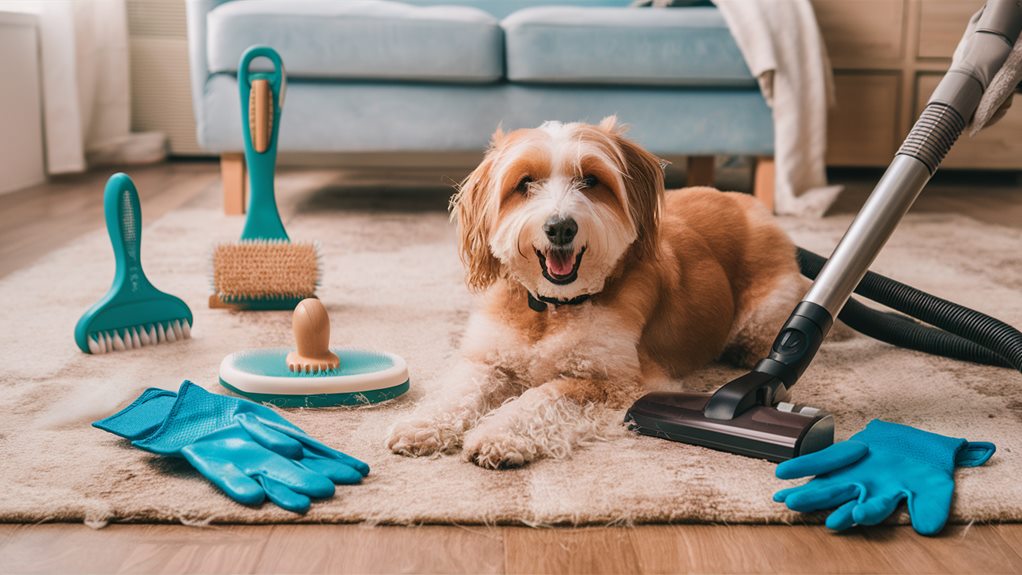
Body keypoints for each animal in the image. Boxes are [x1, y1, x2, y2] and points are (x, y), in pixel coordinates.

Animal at [384, 116, 805, 467]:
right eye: (525, 183)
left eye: (590, 180)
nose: (560, 227)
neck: (552, 309)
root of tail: (747, 203)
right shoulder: (488, 359)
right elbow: (461, 391)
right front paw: (424, 425)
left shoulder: (620, 383)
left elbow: (544, 396)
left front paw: (500, 434)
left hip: (763, 317)